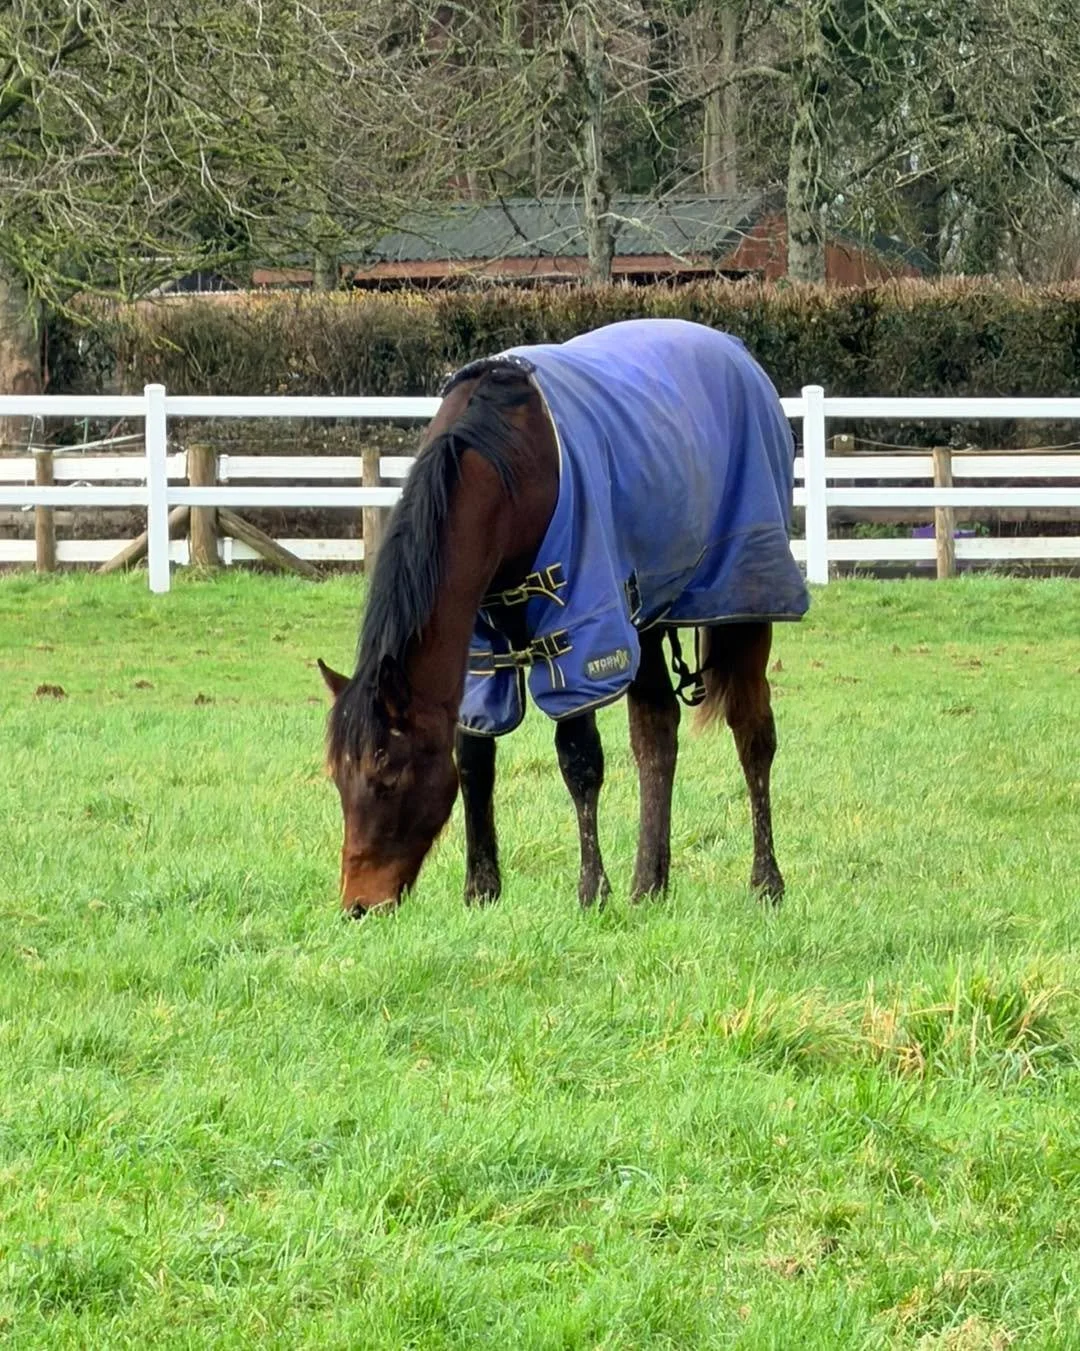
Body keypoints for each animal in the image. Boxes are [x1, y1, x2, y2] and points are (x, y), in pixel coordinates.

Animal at [318, 318, 809, 916]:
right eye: (338, 782)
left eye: (387, 777)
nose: (359, 905)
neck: (504, 464)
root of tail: (738, 354)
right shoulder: (480, 648)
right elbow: (474, 756)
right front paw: (481, 889)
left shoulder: (579, 631)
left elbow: (579, 760)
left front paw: (593, 891)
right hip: (645, 618)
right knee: (656, 734)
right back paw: (649, 884)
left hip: (741, 602)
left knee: (752, 733)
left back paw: (766, 882)